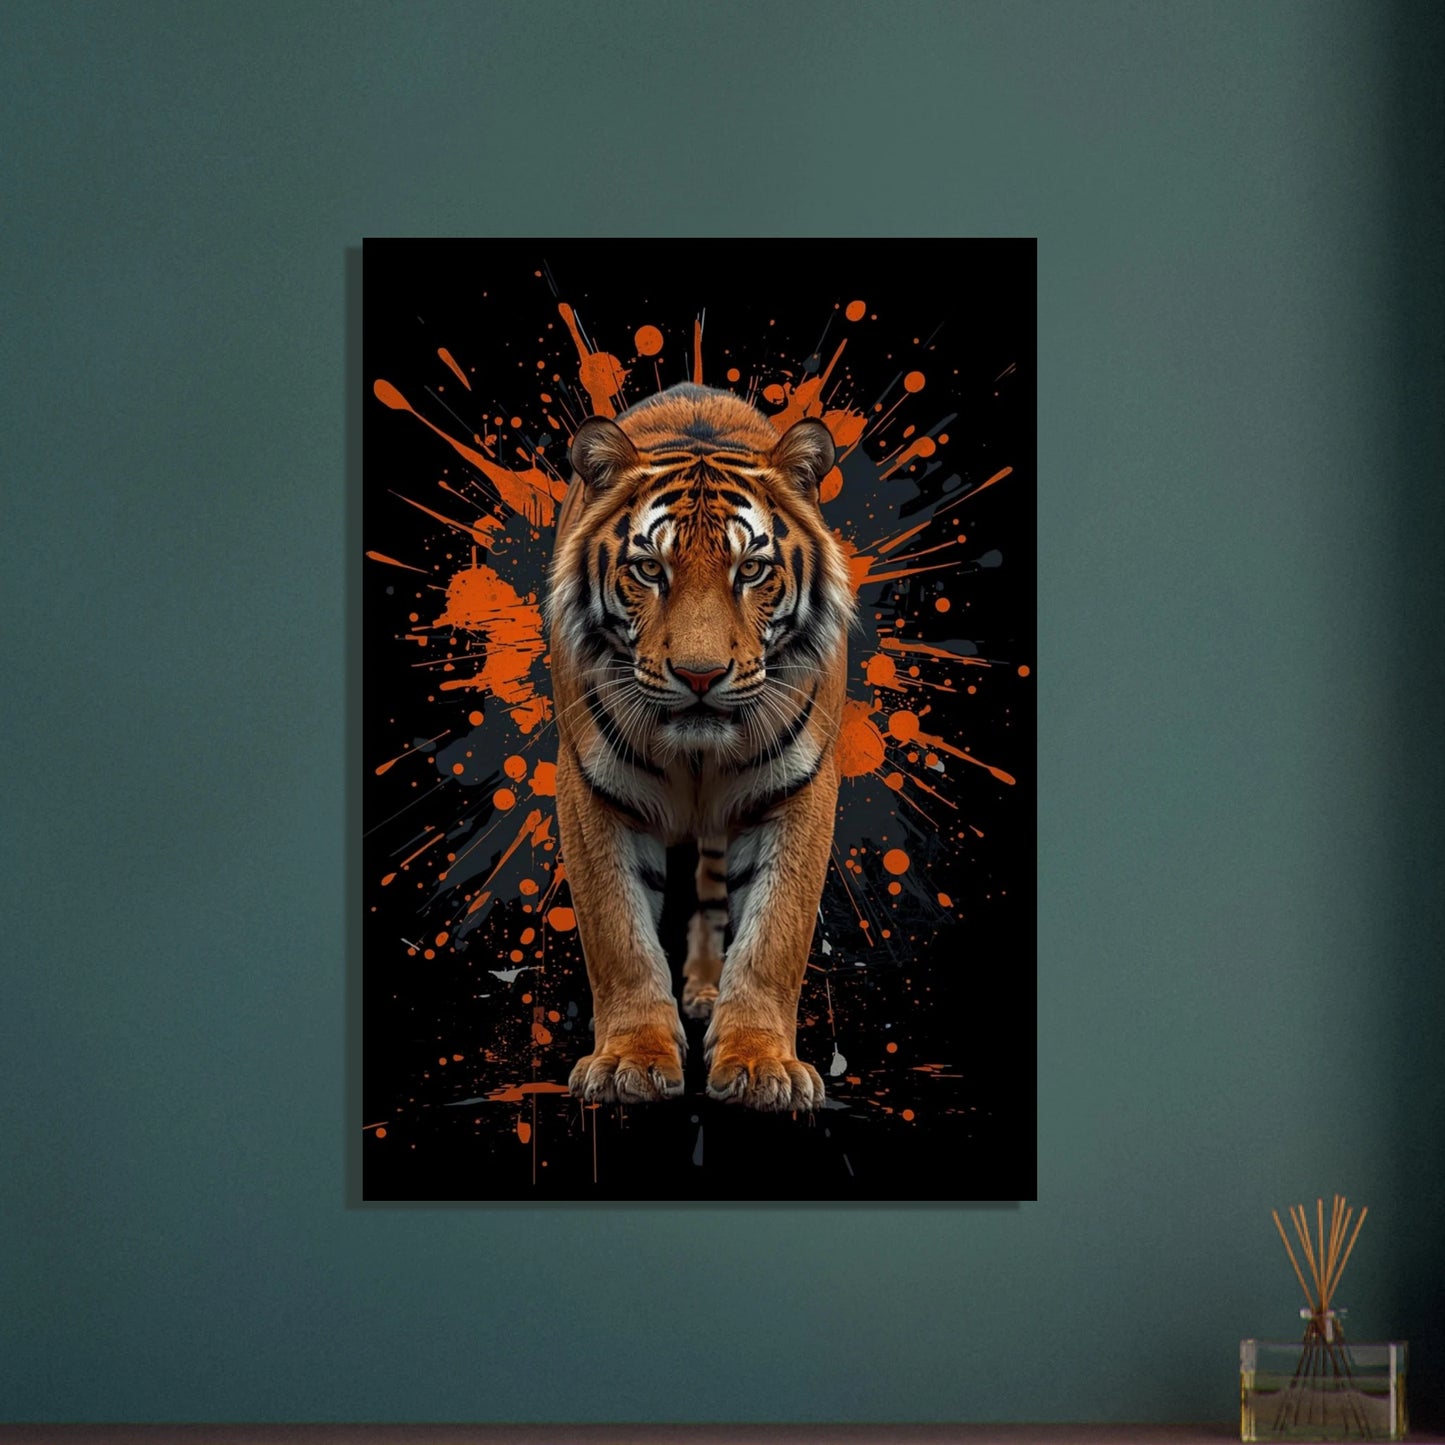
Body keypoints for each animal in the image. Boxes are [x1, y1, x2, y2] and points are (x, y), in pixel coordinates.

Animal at [545, 381, 855, 1112]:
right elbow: (618, 933)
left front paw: (760, 1065)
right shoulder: (589, 786)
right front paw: (628, 1061)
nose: (699, 675)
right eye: (648, 569)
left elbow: (774, 935)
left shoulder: (802, 786)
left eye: (752, 570)